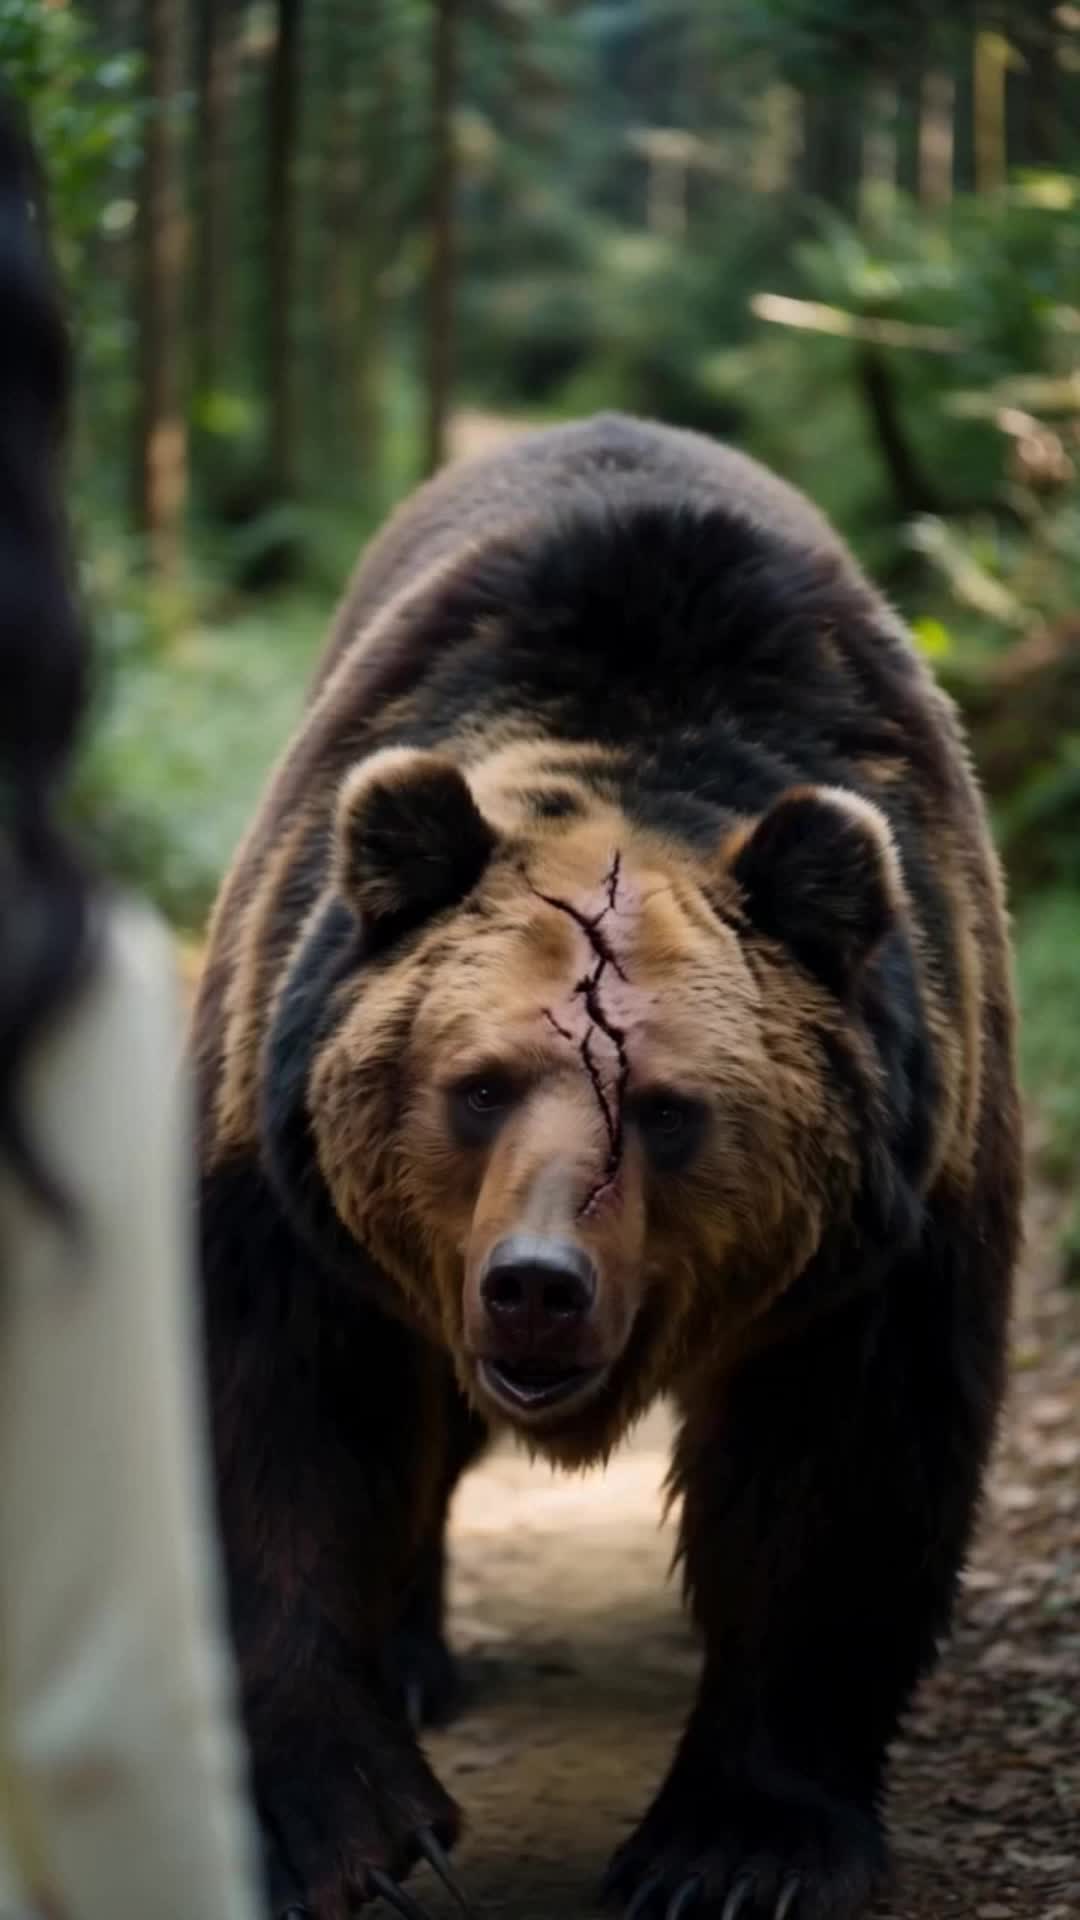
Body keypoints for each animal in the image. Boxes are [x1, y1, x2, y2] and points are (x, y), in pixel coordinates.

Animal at [192, 412, 1021, 1920]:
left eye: (673, 1108)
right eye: (476, 1086)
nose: (539, 1282)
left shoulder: (886, 1229)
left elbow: (842, 1473)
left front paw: (735, 1851)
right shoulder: (289, 1191)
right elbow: (280, 1425)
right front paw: (346, 1828)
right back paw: (418, 1659)